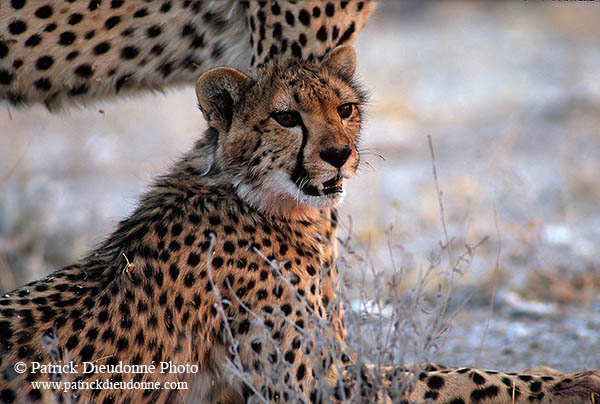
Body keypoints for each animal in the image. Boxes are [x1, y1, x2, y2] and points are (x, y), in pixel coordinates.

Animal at [1, 46, 600, 404]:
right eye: (286, 117)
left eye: (345, 108)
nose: (338, 155)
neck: (257, 199)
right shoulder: (315, 386)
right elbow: (449, 376)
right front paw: (572, 382)